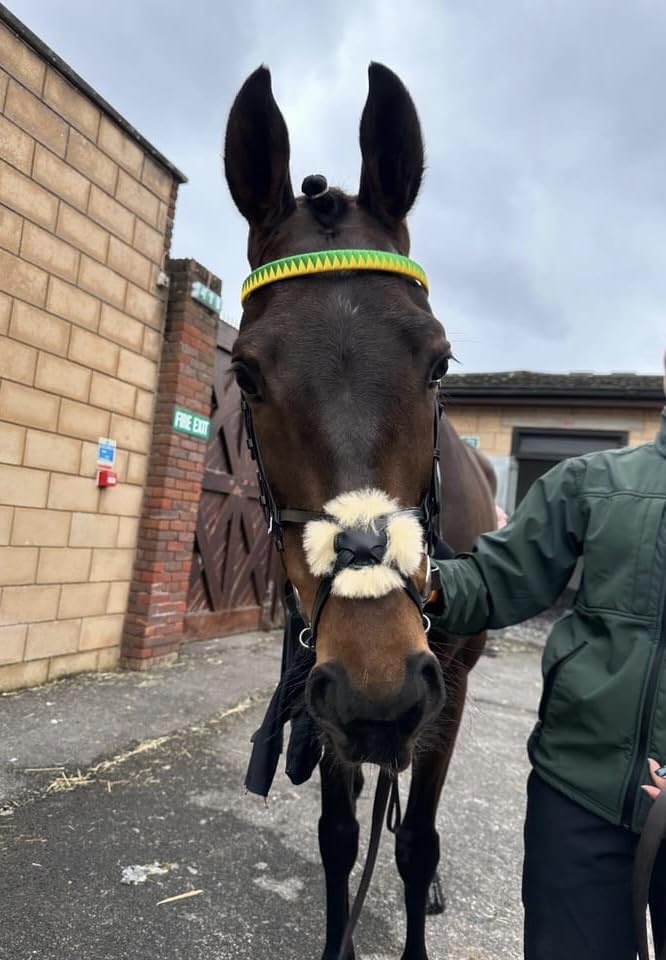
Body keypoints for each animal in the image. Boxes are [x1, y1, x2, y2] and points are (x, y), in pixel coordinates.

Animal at [224, 62, 496, 960]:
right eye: (244, 375)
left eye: (440, 360)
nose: (382, 690)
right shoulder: (328, 679)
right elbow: (343, 841)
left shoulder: (440, 683)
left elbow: (414, 845)